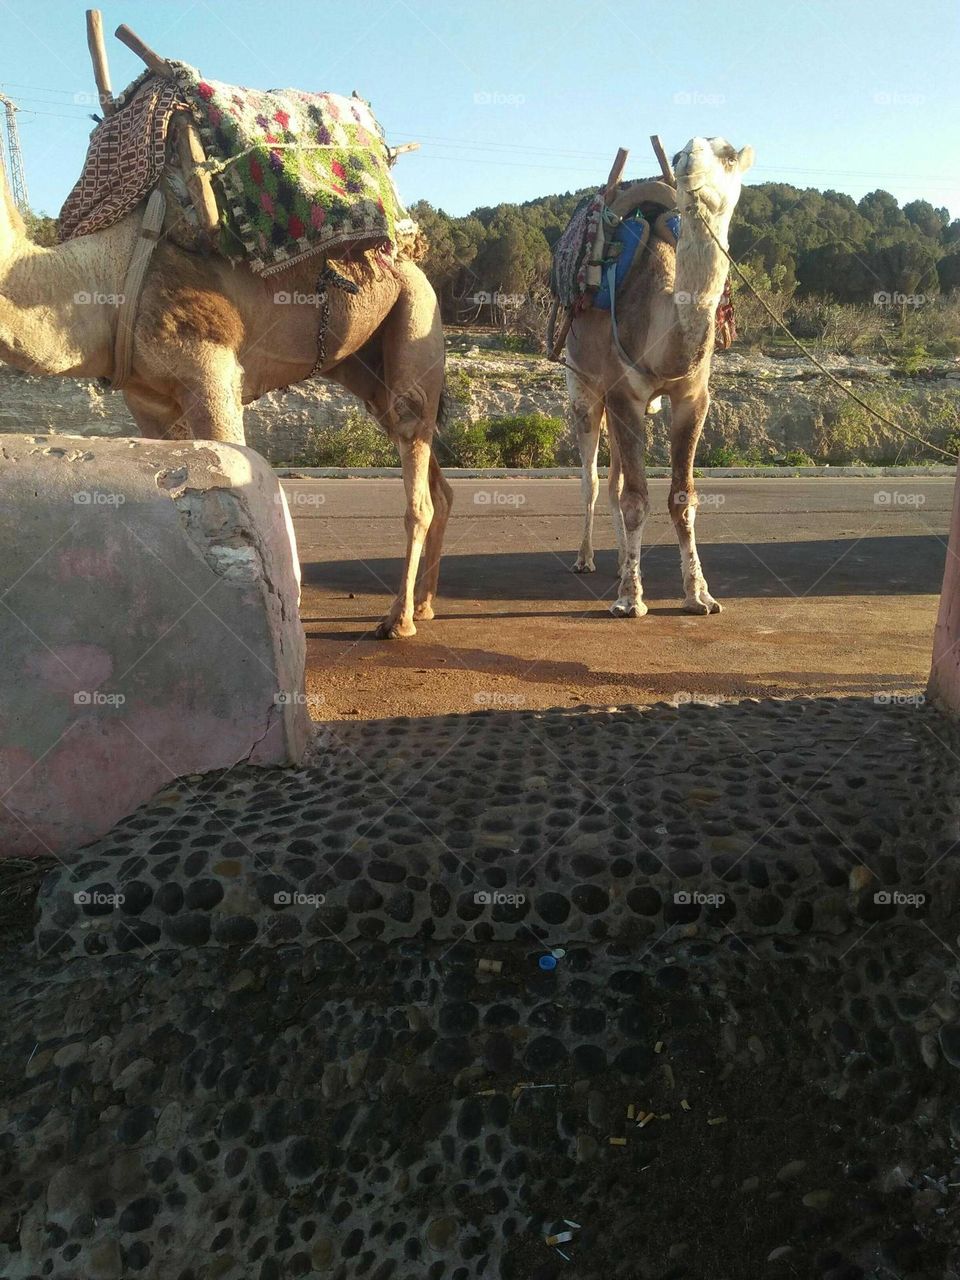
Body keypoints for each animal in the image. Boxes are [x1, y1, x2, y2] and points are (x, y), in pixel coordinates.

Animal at [0, 150, 451, 640]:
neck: (105, 280)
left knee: (417, 470)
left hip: (417, 314)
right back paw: (425, 604)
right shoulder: (147, 402)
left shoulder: (210, 368)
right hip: (368, 370)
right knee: (432, 474)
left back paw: (399, 619)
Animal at [563, 136, 754, 616]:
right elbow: (634, 498)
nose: (687, 162)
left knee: (613, 479)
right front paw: (630, 600)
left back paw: (617, 564)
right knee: (592, 480)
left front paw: (699, 594)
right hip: (583, 390)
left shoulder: (693, 397)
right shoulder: (622, 395)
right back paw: (585, 559)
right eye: (685, 148)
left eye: (728, 155)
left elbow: (682, 497)